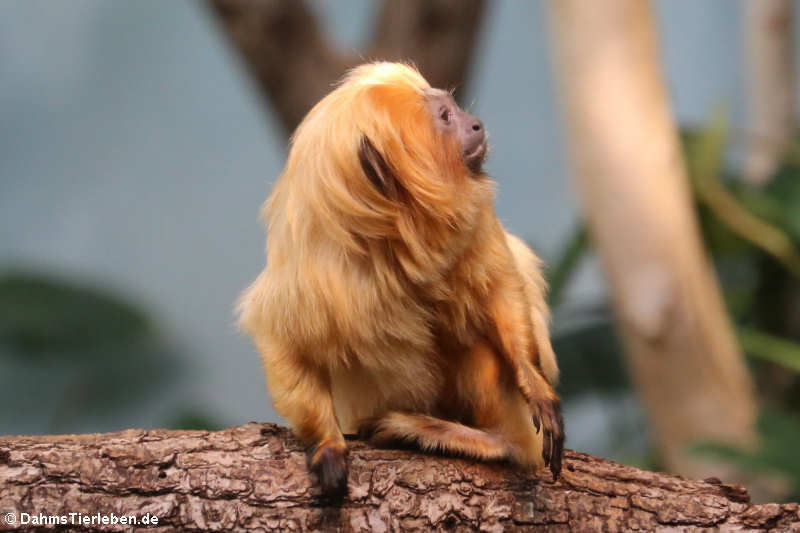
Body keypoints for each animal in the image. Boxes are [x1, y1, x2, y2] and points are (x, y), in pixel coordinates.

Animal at [238, 62, 564, 498]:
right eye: (445, 117)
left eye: (453, 107)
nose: (475, 124)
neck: (395, 232)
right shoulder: (312, 274)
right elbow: (283, 346)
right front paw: (326, 445)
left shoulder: (476, 223)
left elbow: (502, 289)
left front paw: (536, 385)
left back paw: (482, 438)